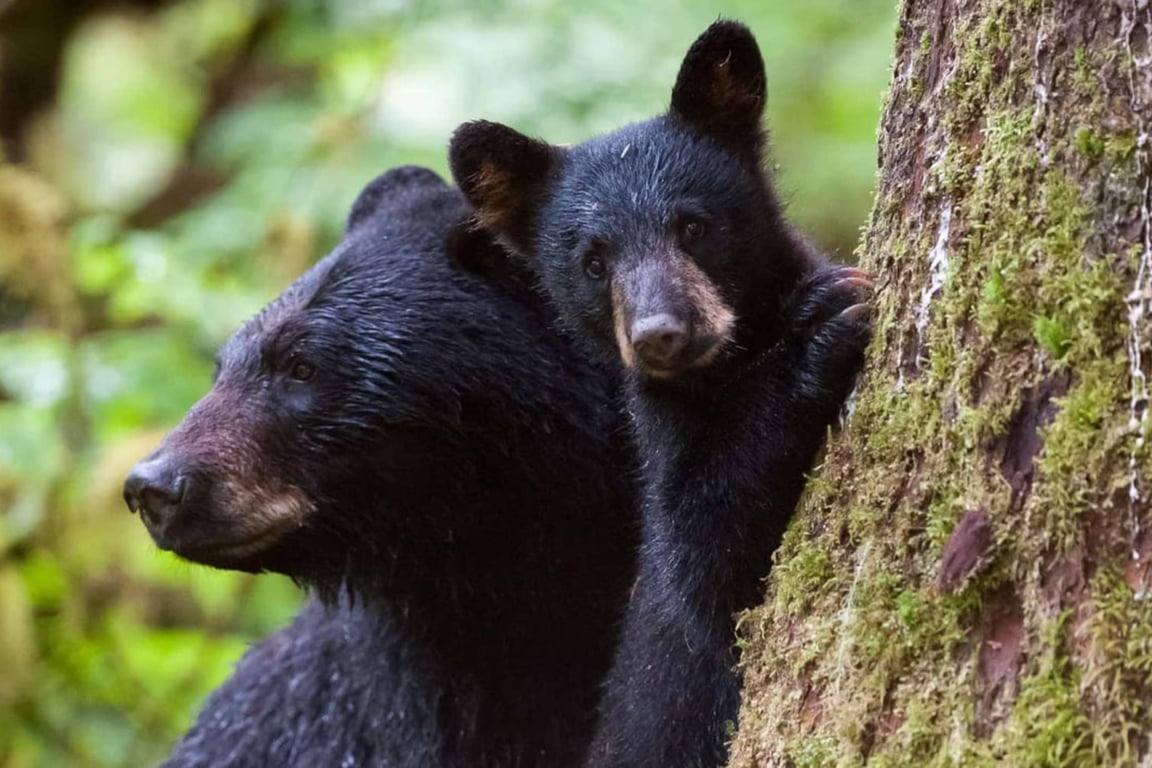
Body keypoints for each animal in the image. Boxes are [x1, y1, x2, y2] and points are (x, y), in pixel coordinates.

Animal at [448, 20, 871, 768]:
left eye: (693, 226)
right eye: (593, 261)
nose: (661, 334)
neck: (724, 369)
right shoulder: (664, 438)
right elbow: (707, 566)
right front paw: (815, 332)